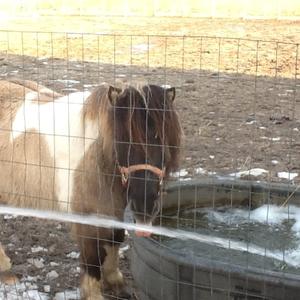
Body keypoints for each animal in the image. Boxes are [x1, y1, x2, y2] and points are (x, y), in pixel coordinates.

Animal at [0, 78, 180, 298]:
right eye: (122, 140)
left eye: (162, 138)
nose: (145, 206)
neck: (97, 158)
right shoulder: (86, 217)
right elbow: (92, 257)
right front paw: (94, 293)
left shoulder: (113, 209)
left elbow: (115, 239)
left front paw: (115, 282)